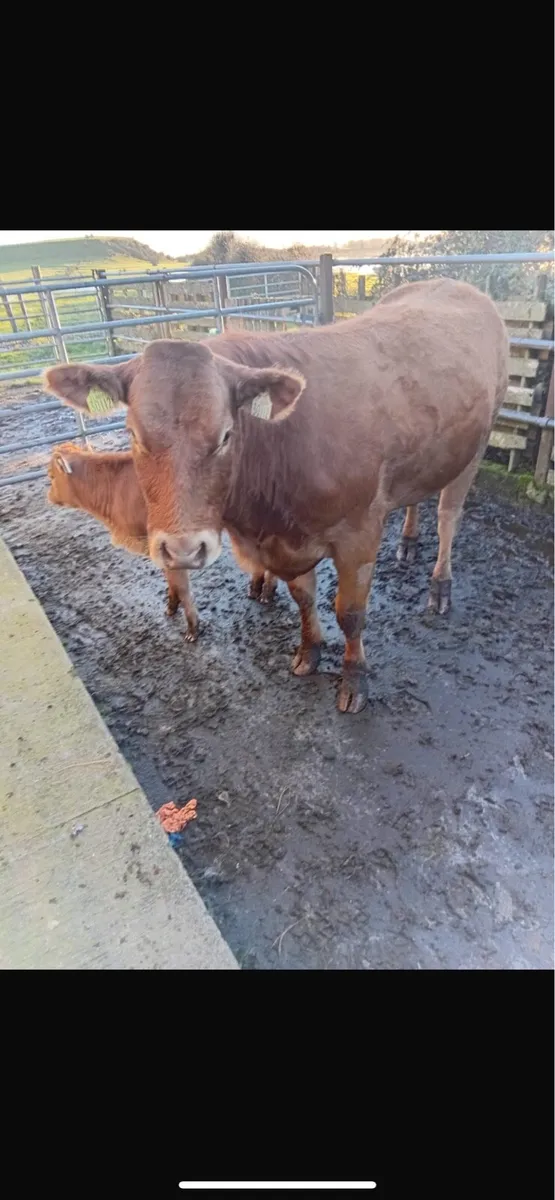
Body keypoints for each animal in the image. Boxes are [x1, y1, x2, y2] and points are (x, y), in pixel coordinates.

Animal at [46, 444, 276, 640]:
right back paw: (257, 588)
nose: (48, 496)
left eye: (51, 476)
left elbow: (182, 586)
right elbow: (170, 580)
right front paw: (171, 606)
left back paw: (265, 592)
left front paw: (193, 629)